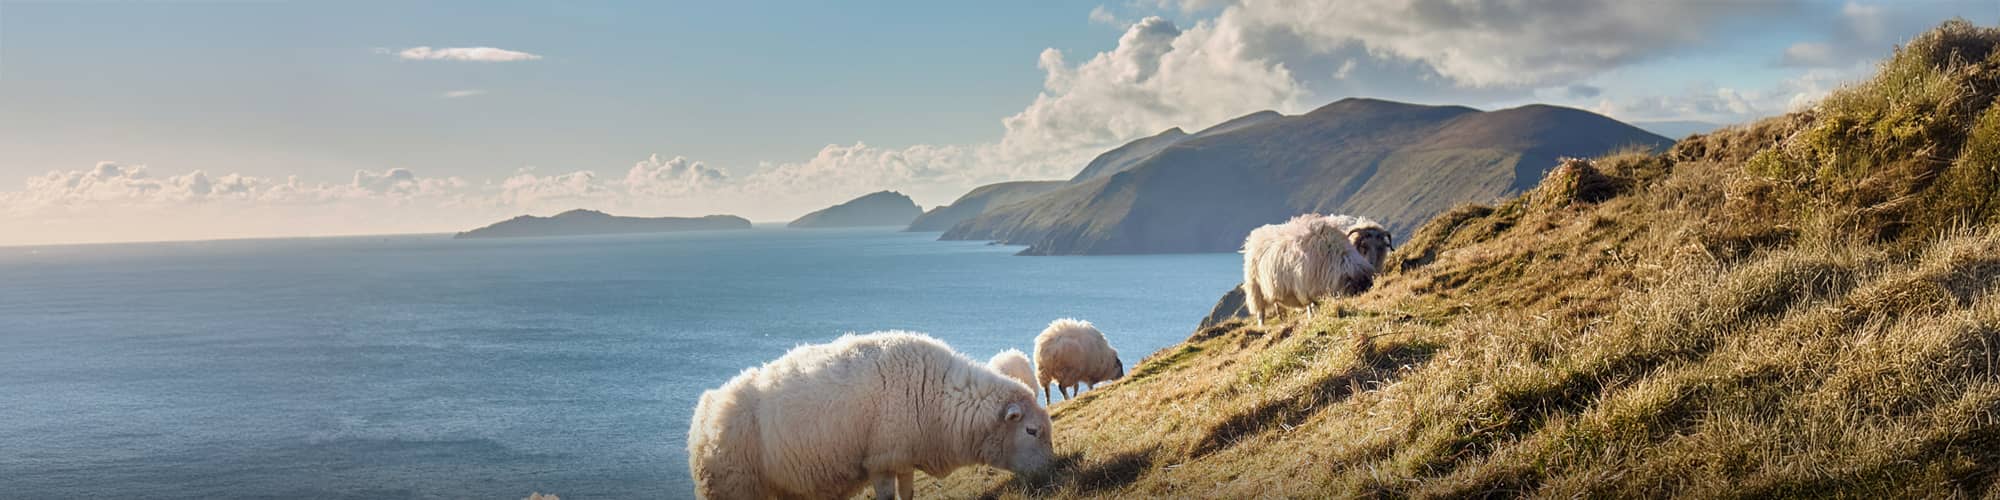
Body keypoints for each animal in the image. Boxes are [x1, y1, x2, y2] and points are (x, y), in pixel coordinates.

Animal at [688, 330, 1056, 498]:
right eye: (1031, 431)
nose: (1053, 471)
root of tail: (705, 410)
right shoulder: (881, 459)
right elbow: (887, 495)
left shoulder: (904, 455)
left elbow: (908, 492)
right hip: (733, 486)